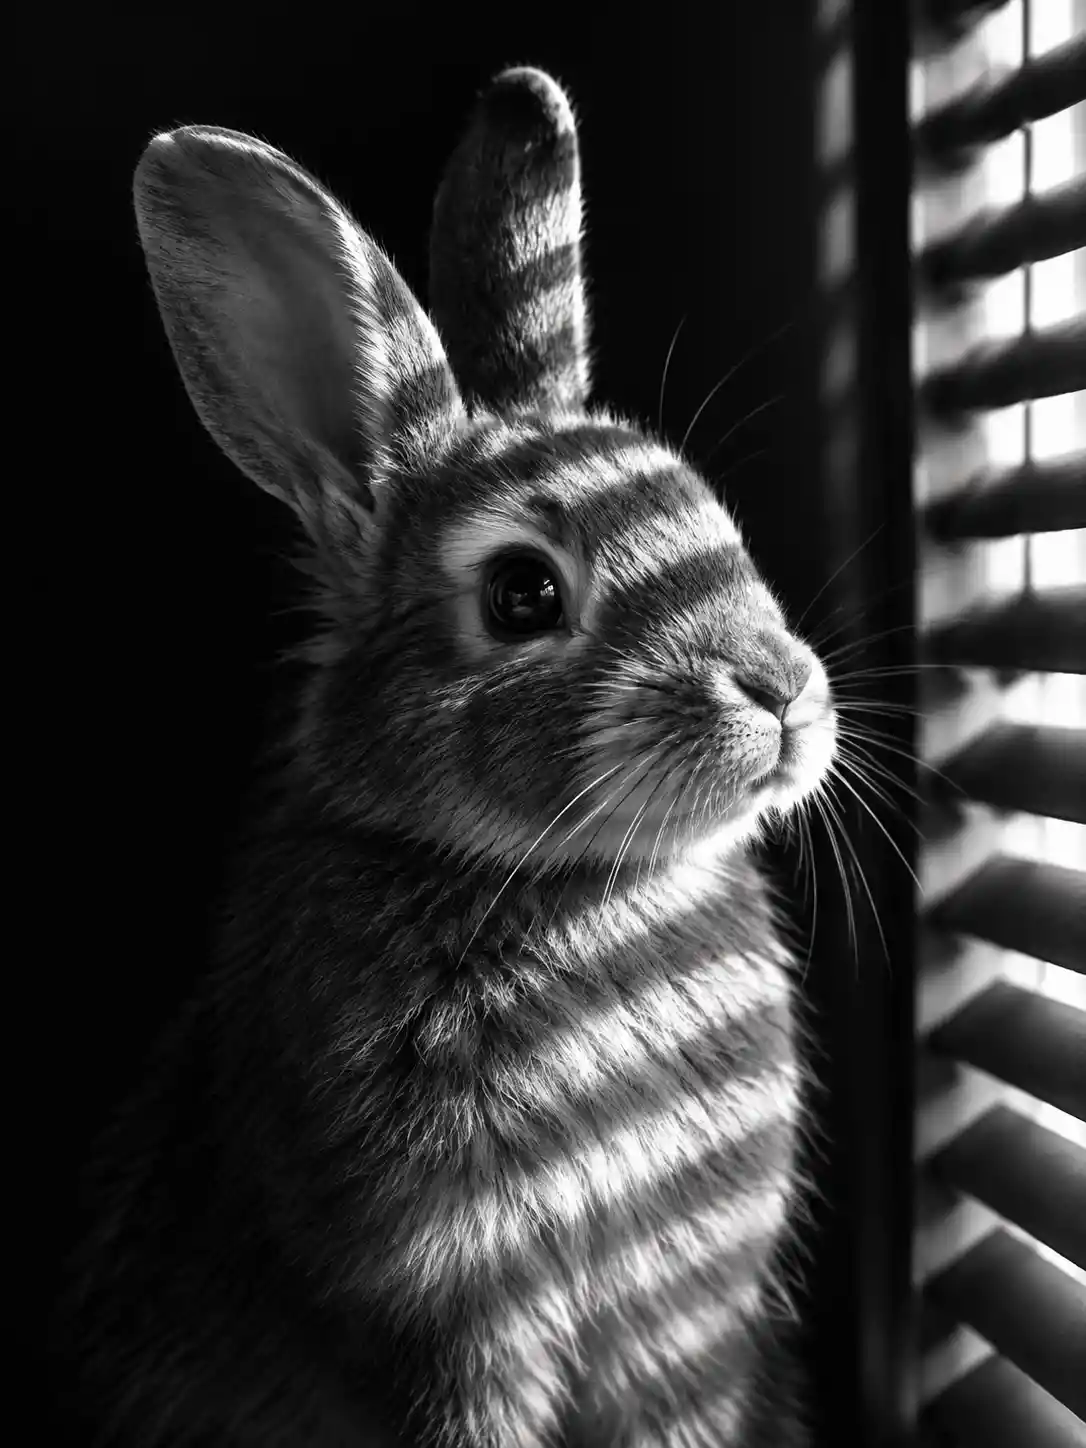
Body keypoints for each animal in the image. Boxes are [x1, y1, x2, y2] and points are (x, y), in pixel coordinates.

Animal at [60, 65, 837, 1448]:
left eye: (706, 510)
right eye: (524, 593)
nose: (783, 690)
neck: (573, 885)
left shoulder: (687, 1322)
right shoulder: (449, 1324)